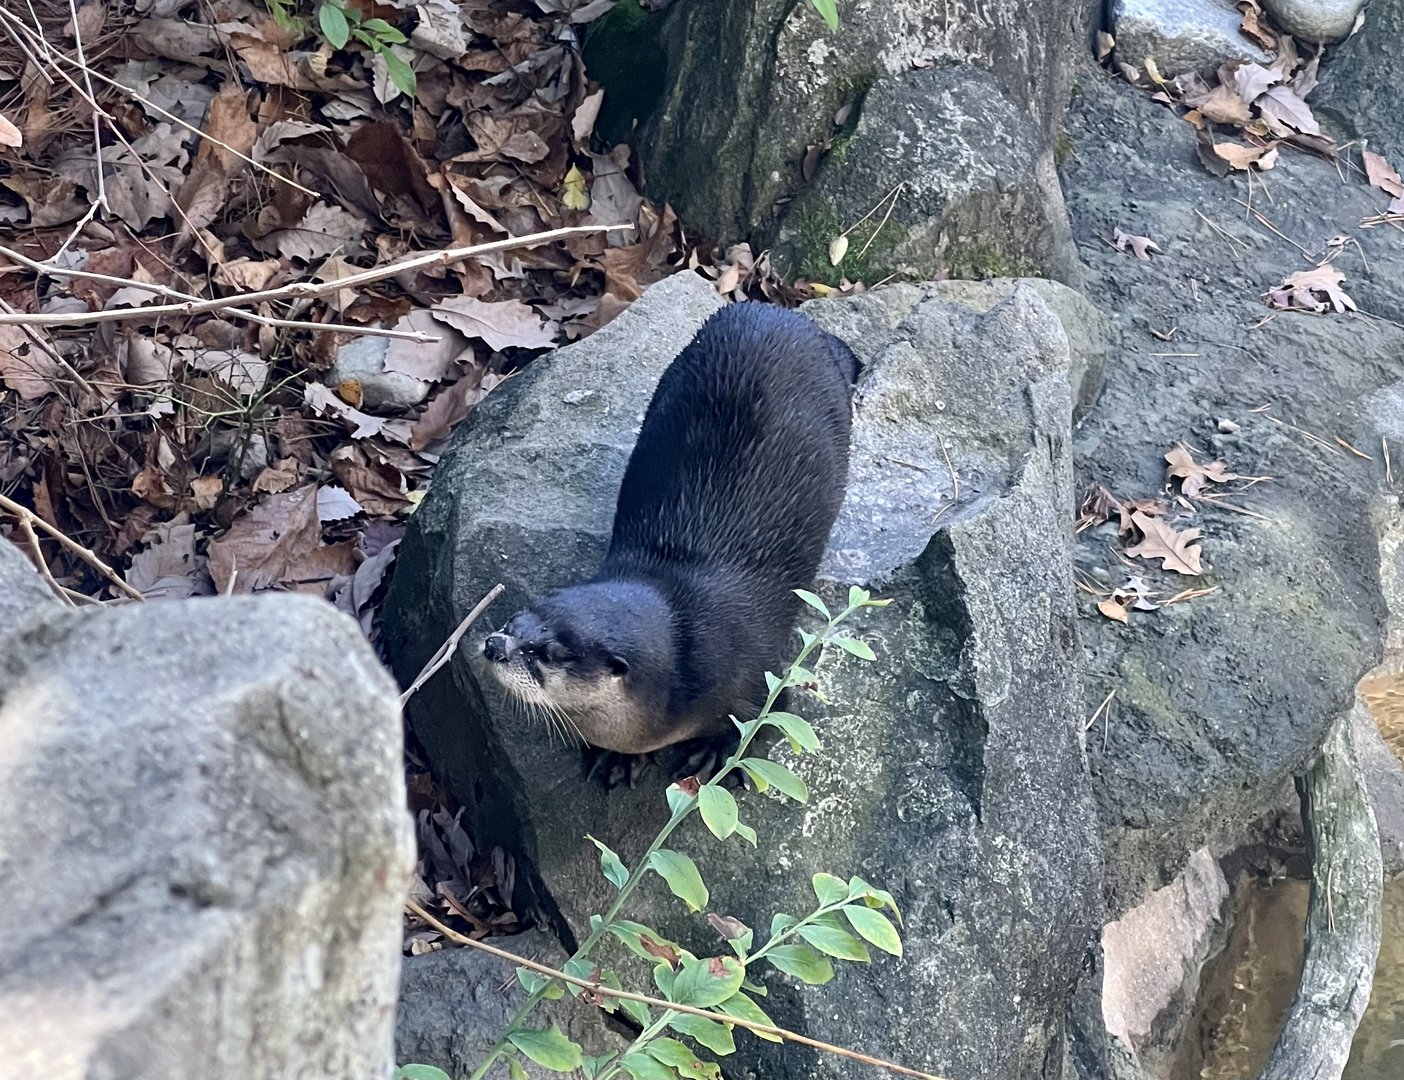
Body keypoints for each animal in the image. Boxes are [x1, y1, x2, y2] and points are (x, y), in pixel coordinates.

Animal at [481, 301, 859, 782]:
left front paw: (718, 755)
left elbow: (766, 719)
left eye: (544, 653)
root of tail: (776, 311)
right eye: (513, 622)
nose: (494, 645)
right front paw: (617, 757)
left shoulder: (758, 675)